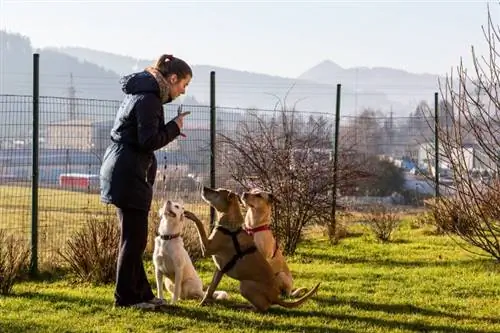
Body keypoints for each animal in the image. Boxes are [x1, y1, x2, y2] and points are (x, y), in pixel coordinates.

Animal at [184, 187, 320, 312]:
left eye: (216, 192)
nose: (204, 188)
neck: (230, 227)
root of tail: (275, 297)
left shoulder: (207, 248)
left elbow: (200, 226)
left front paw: (191, 215)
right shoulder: (219, 269)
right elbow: (210, 289)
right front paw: (203, 303)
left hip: (245, 285)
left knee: (263, 308)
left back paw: (246, 308)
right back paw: (245, 305)